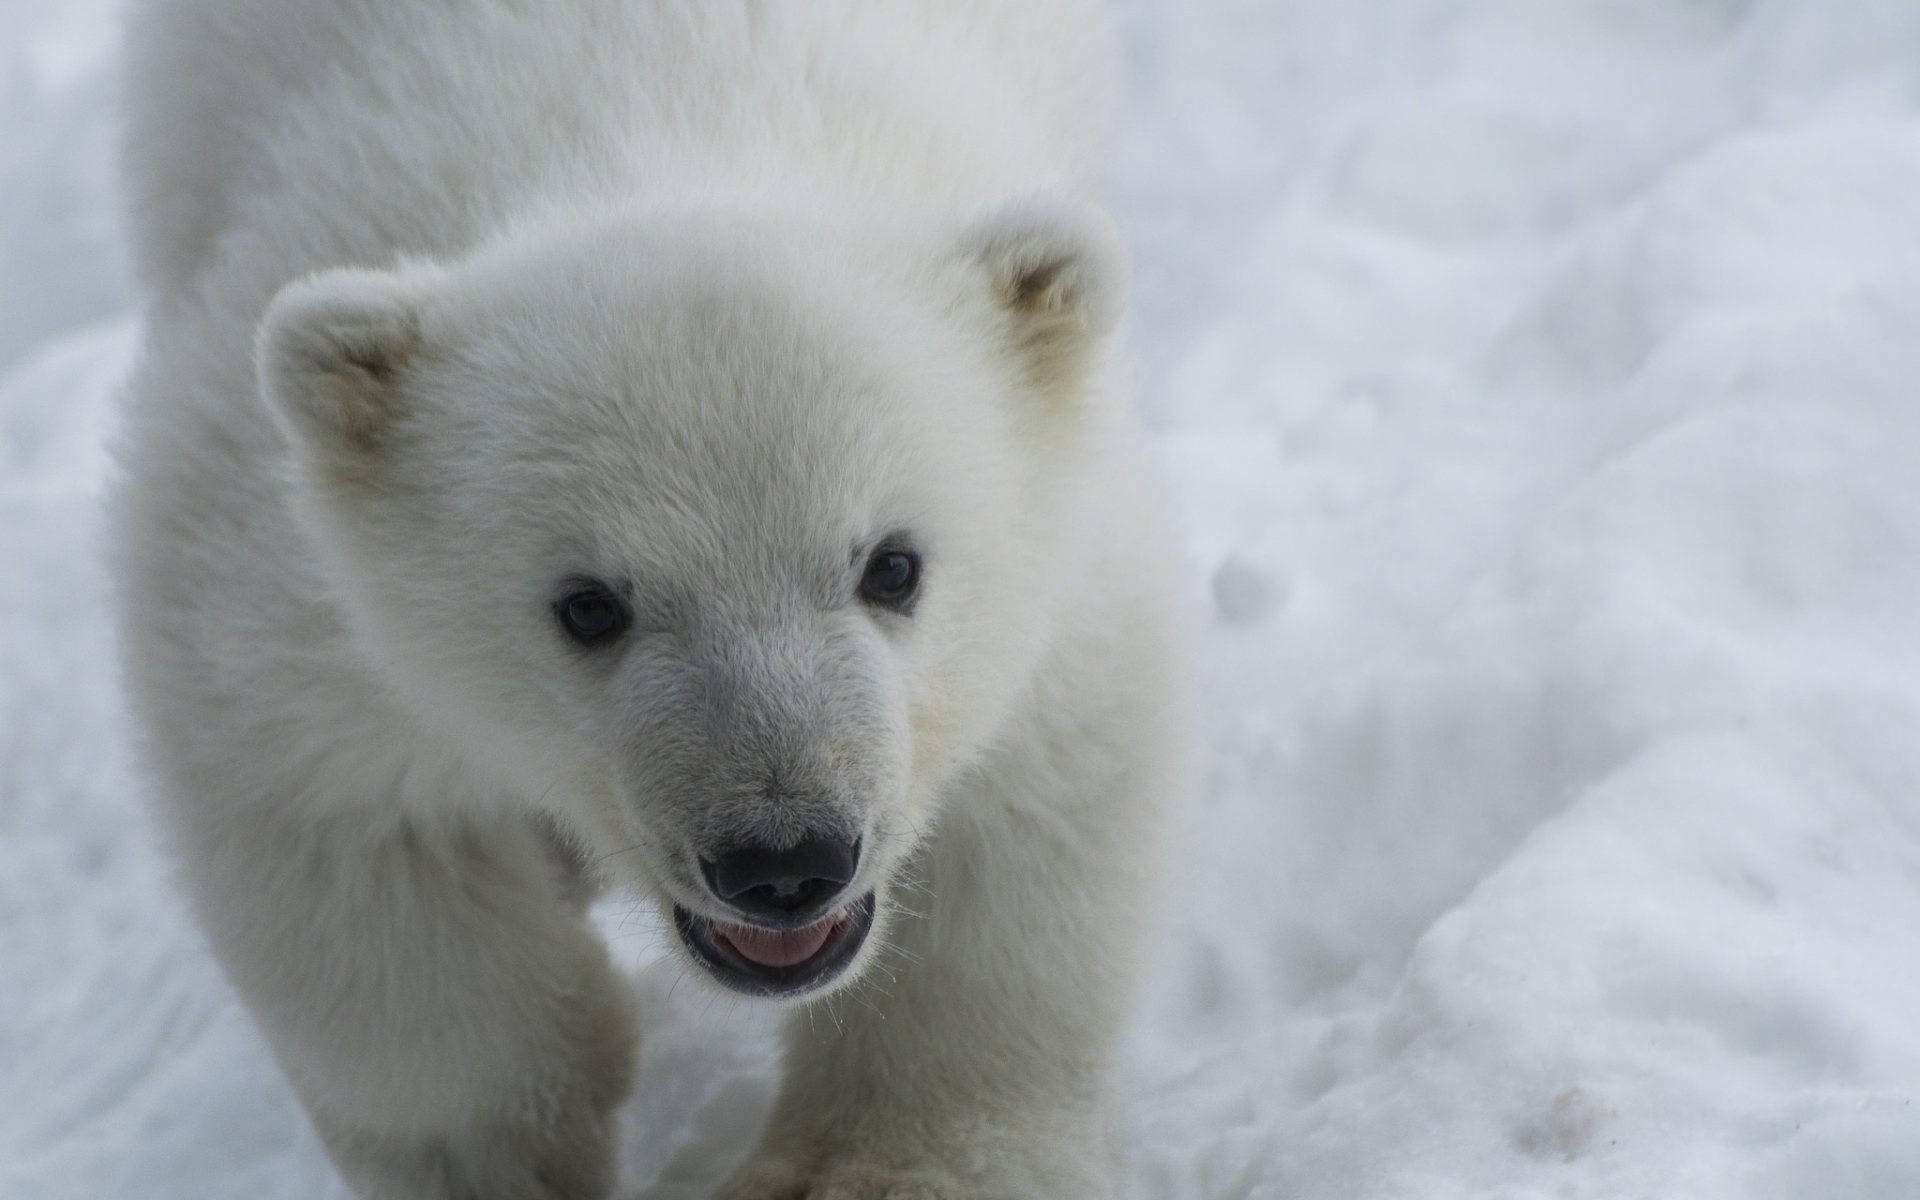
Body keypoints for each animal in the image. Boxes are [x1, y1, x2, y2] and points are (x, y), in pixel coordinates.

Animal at [110, 2, 1196, 1198]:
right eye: (588, 605)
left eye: (892, 565)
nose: (784, 860)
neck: (659, 120)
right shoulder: (288, 589)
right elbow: (352, 836)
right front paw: (505, 1161)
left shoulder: (1059, 557)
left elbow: (1030, 807)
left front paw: (872, 1165)